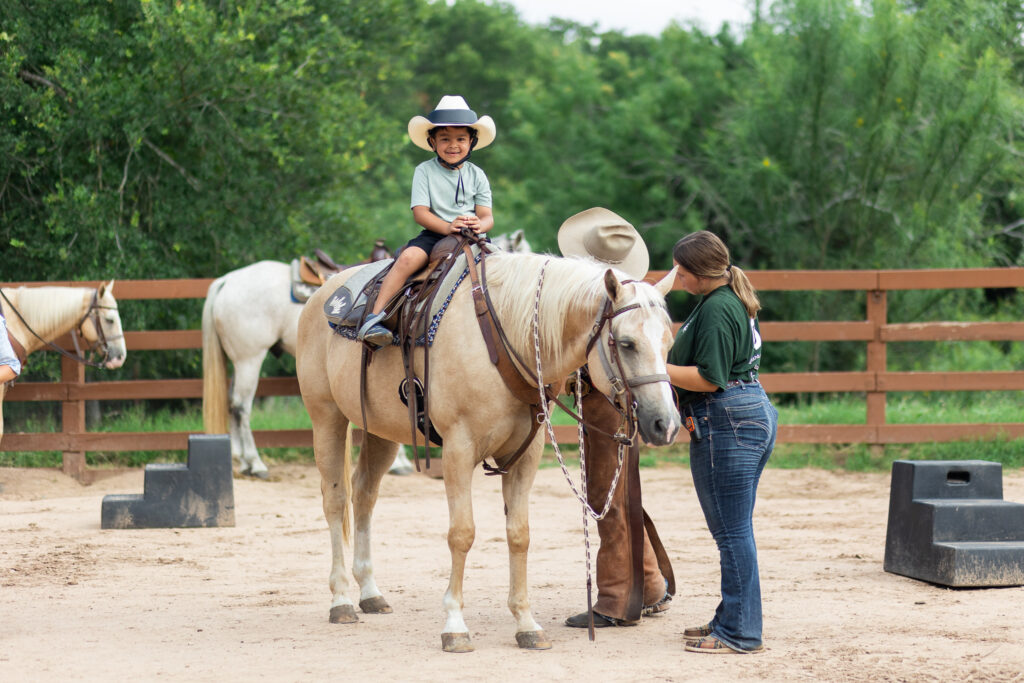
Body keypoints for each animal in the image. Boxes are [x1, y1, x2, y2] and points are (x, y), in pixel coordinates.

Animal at [201, 232, 536, 479]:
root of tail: (226, 281)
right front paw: (401, 462)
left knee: (232, 404)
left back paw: (242, 460)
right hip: (250, 358)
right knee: (241, 406)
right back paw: (256, 463)